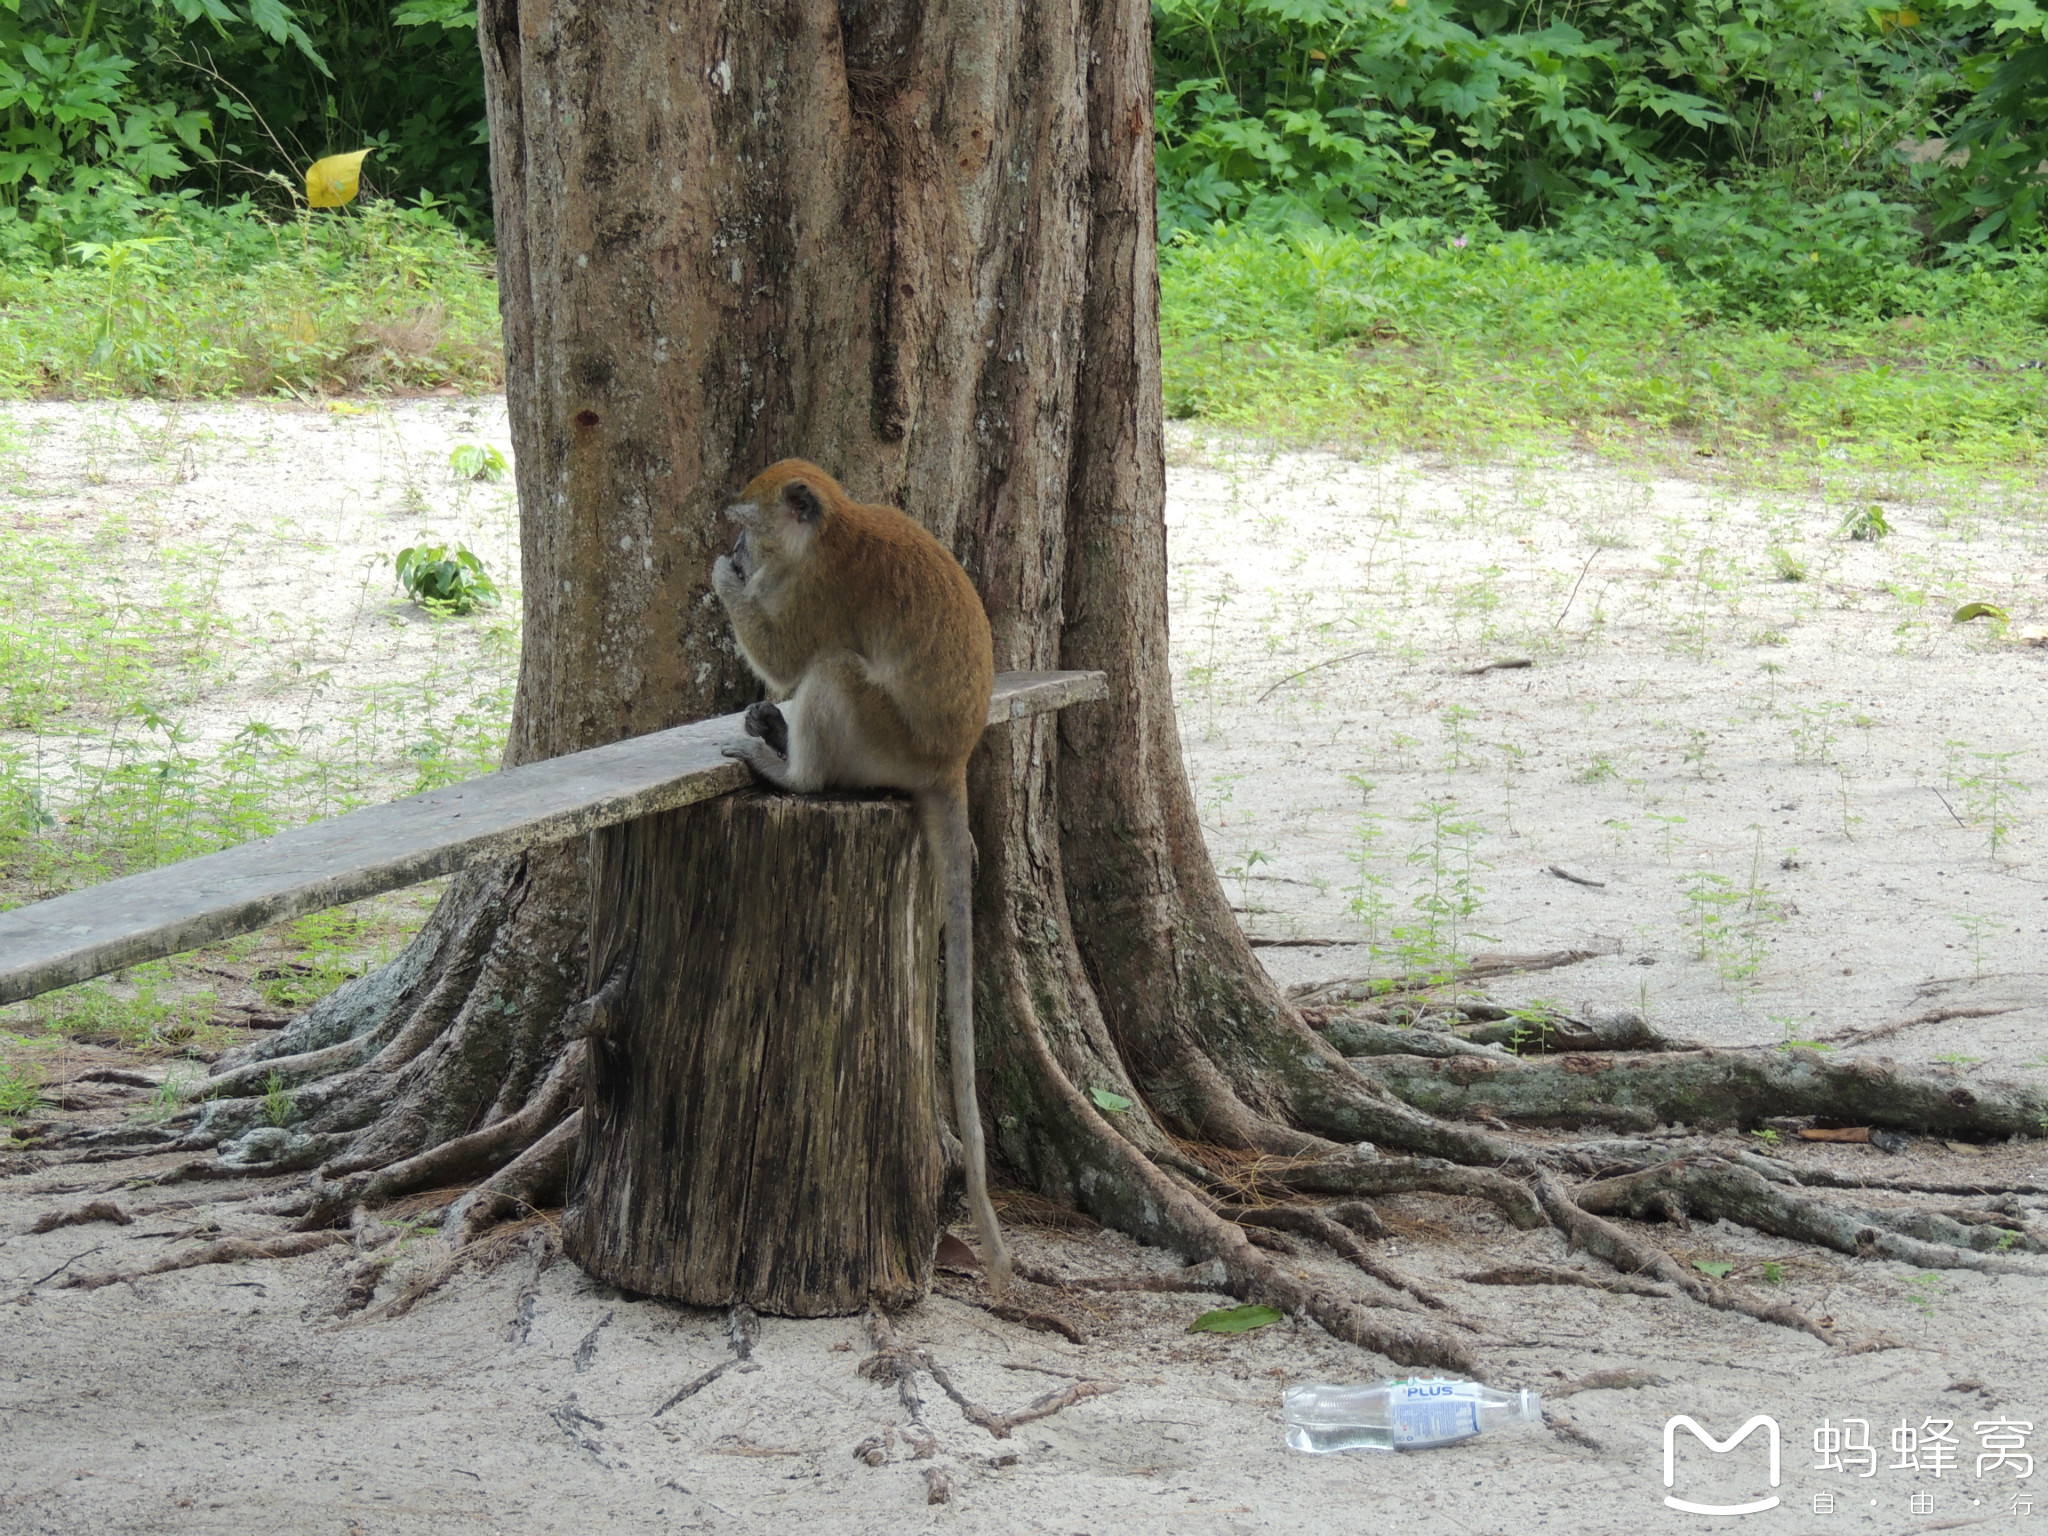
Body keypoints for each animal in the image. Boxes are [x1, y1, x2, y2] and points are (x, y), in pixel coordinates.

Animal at [712, 456, 1015, 1302]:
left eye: (747, 528)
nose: (737, 550)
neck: (828, 533)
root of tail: (950, 760)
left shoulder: (820, 591)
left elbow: (791, 656)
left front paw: (723, 580)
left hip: (886, 739)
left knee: (833, 673)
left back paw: (794, 774)